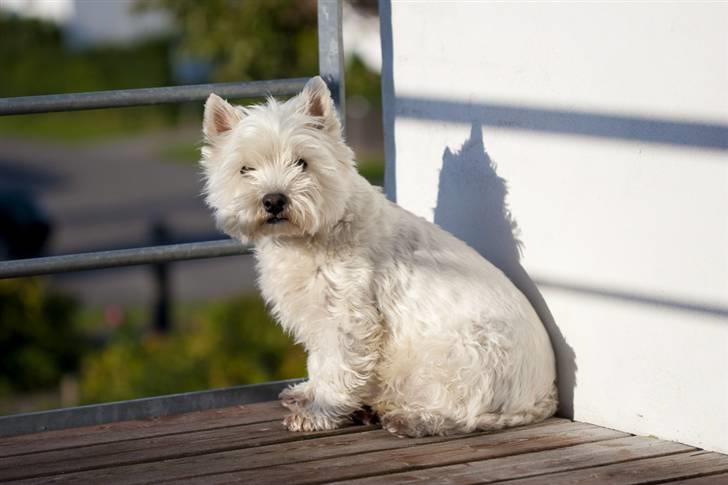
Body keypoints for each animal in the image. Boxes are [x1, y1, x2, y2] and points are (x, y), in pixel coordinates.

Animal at [199, 77, 556, 436]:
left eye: (302, 162)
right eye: (245, 169)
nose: (273, 200)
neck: (314, 234)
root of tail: (543, 395)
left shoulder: (349, 316)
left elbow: (338, 366)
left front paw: (318, 413)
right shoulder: (315, 316)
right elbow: (319, 361)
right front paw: (306, 394)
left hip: (464, 354)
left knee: (463, 409)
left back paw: (406, 417)